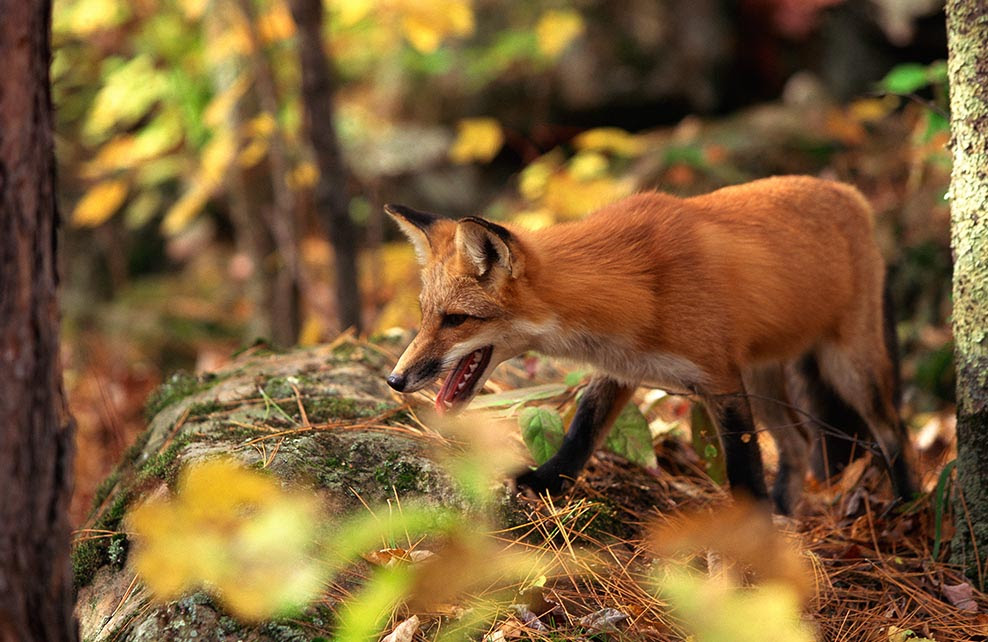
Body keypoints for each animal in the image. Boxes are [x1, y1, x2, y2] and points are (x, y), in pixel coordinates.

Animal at [384, 174, 920, 510]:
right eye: (425, 315)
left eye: (456, 320)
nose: (395, 379)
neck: (638, 283)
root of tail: (852, 193)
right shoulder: (622, 367)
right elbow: (582, 431)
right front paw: (546, 481)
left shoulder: (721, 379)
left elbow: (744, 468)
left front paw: (753, 534)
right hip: (766, 378)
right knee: (799, 443)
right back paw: (789, 511)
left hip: (849, 367)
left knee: (893, 430)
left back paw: (906, 505)